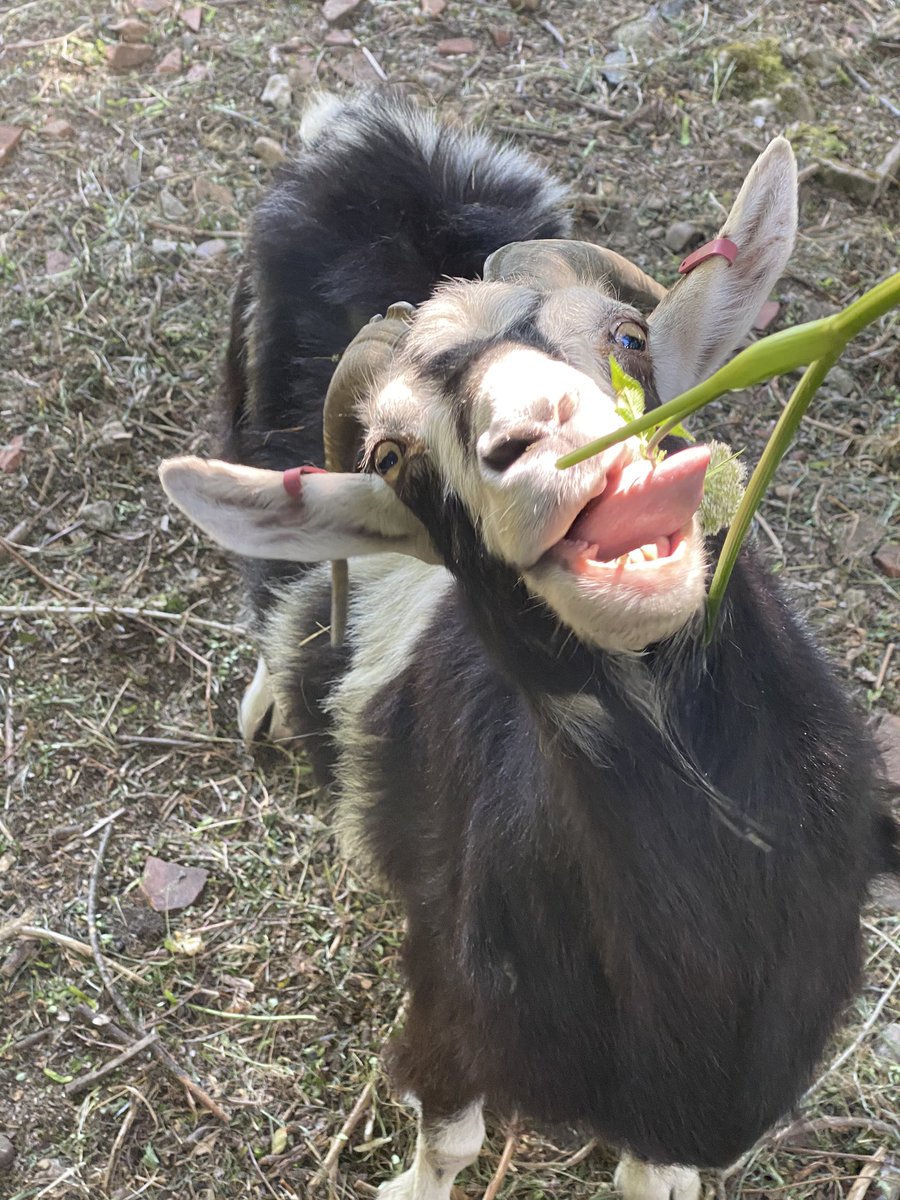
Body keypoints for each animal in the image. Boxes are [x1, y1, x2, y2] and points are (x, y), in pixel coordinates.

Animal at [160, 92, 898, 1200]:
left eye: (629, 337)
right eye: (394, 456)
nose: (539, 437)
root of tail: (378, 152)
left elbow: (648, 1173)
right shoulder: (447, 999)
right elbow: (451, 1137)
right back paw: (272, 702)